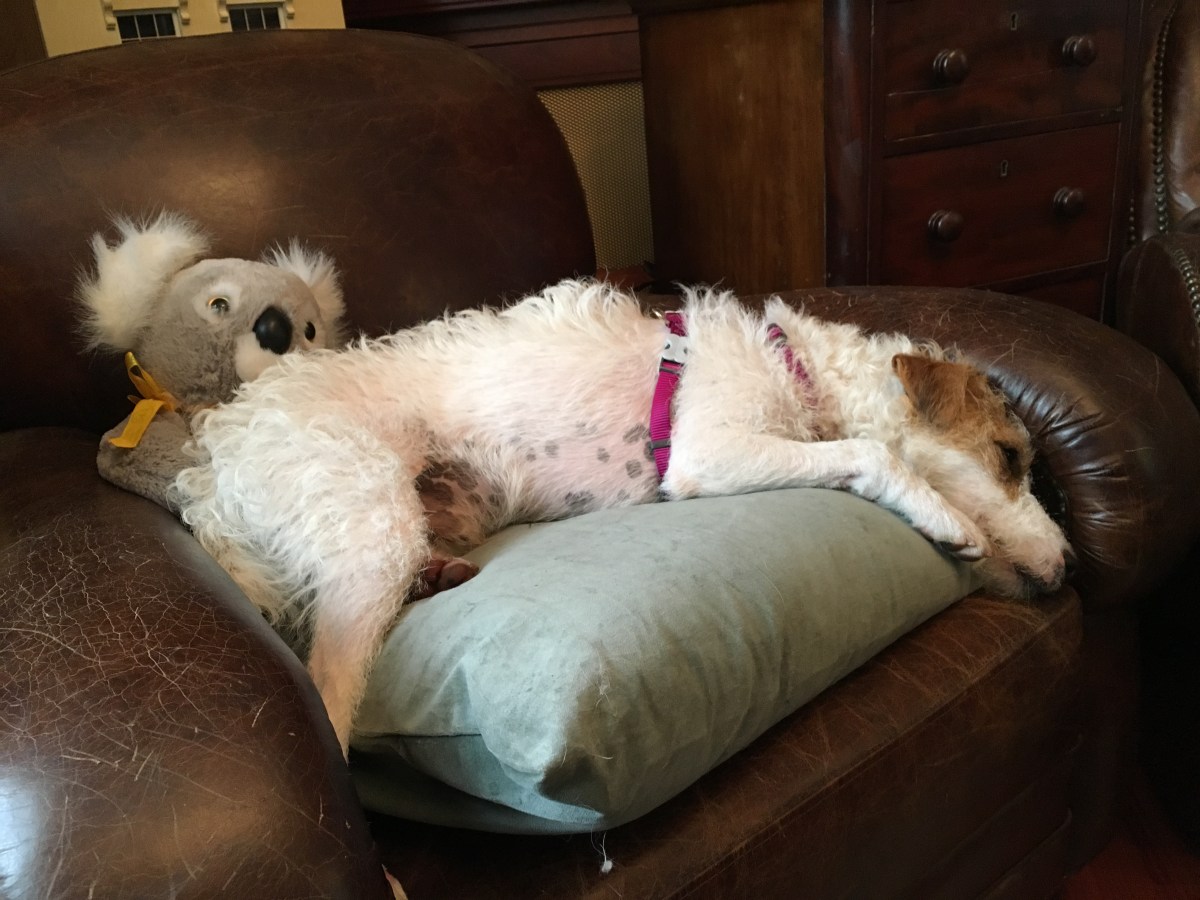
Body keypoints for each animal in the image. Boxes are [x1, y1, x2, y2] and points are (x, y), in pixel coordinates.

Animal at [175, 279, 1072, 754]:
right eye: (1009, 457)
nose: (1069, 568)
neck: (800, 372)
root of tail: (218, 465)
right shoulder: (709, 452)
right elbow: (873, 455)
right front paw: (946, 517)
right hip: (367, 533)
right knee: (331, 695)